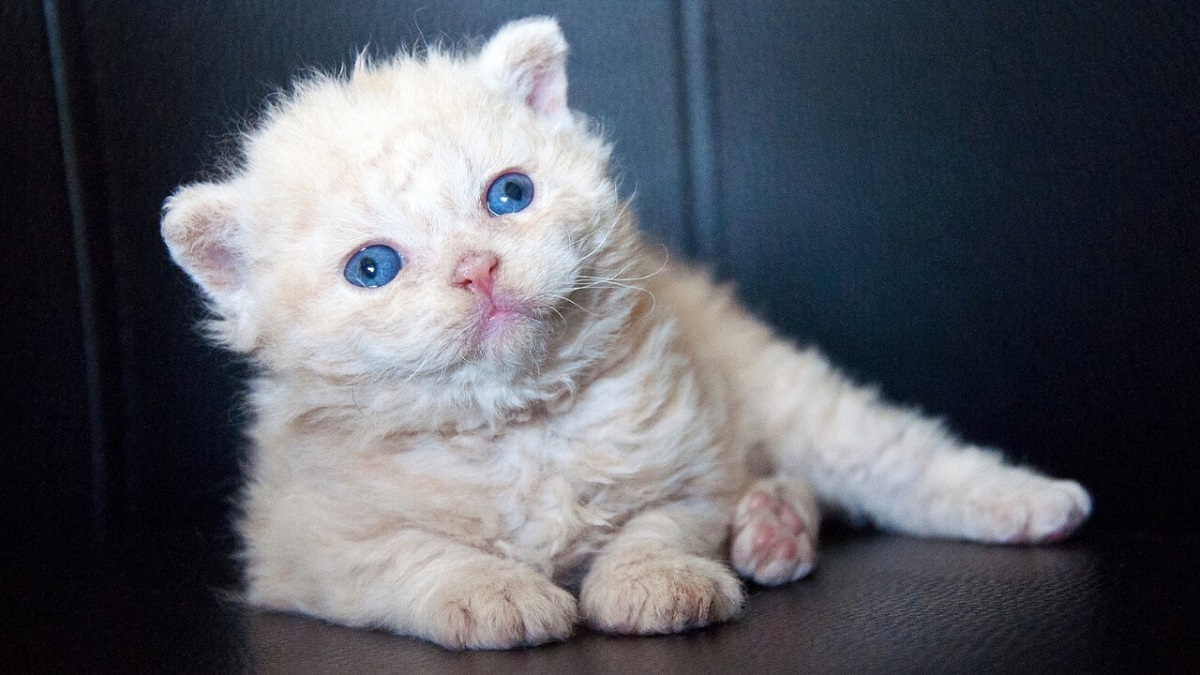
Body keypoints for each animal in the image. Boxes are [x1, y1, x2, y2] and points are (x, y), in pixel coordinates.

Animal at [162, 15, 1099, 648]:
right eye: (371, 268)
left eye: (509, 194)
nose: (478, 268)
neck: (522, 424)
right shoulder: (305, 546)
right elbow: (413, 555)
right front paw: (501, 596)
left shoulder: (693, 470)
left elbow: (654, 527)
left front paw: (656, 586)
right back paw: (773, 527)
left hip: (781, 394)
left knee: (888, 459)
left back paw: (1019, 506)